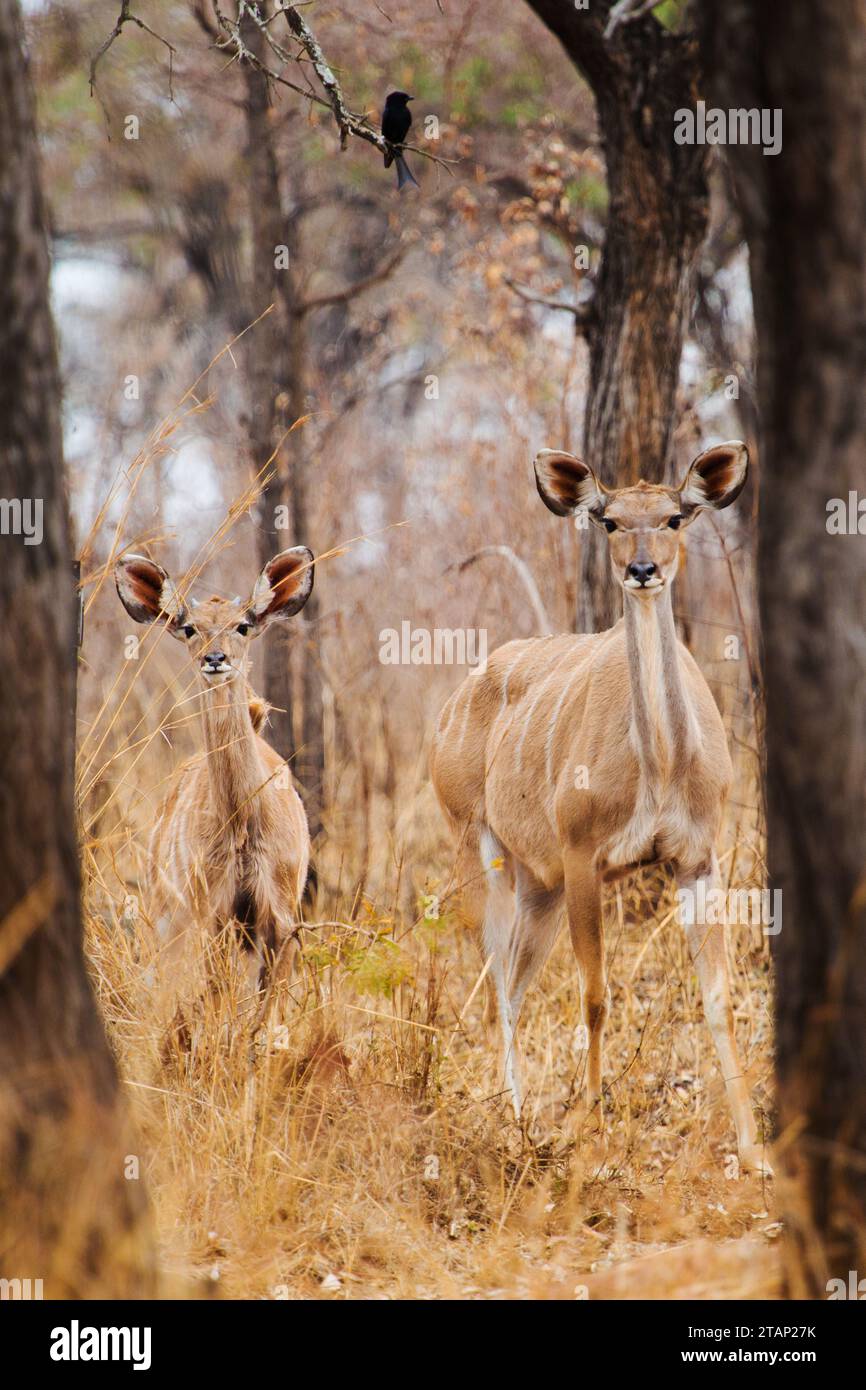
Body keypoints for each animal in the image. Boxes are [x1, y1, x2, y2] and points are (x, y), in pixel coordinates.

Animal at [116, 544, 315, 1000]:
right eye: (190, 628)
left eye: (242, 626)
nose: (215, 659)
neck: (243, 828)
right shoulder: (215, 915)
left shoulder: (281, 920)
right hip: (169, 919)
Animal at [433, 442, 772, 1173]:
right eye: (610, 521)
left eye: (675, 517)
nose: (643, 570)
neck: (663, 768)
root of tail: (449, 708)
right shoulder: (583, 851)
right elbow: (595, 997)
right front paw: (591, 1130)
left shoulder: (698, 856)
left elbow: (719, 998)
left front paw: (753, 1150)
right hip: (480, 848)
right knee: (496, 982)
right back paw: (517, 1116)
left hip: (541, 884)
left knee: (515, 980)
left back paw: (522, 1113)